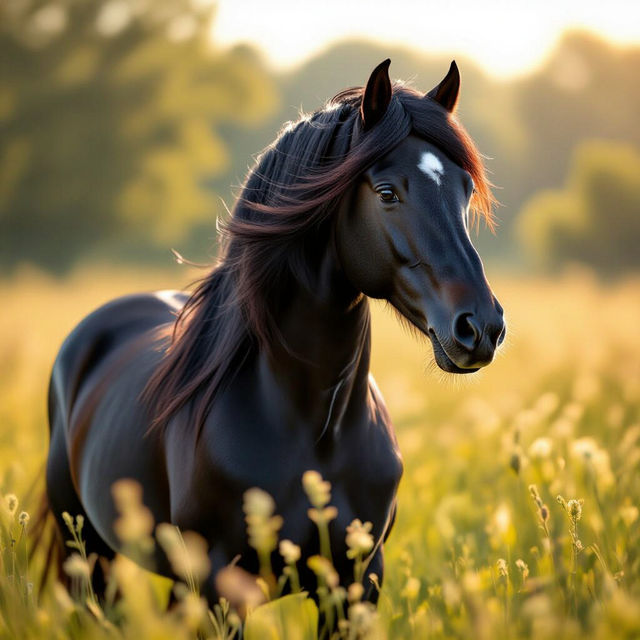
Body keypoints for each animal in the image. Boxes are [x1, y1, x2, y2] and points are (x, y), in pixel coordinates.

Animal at [45, 59, 505, 606]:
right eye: (387, 193)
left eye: (465, 189)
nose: (481, 326)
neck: (313, 430)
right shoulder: (219, 586)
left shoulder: (357, 582)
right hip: (90, 557)